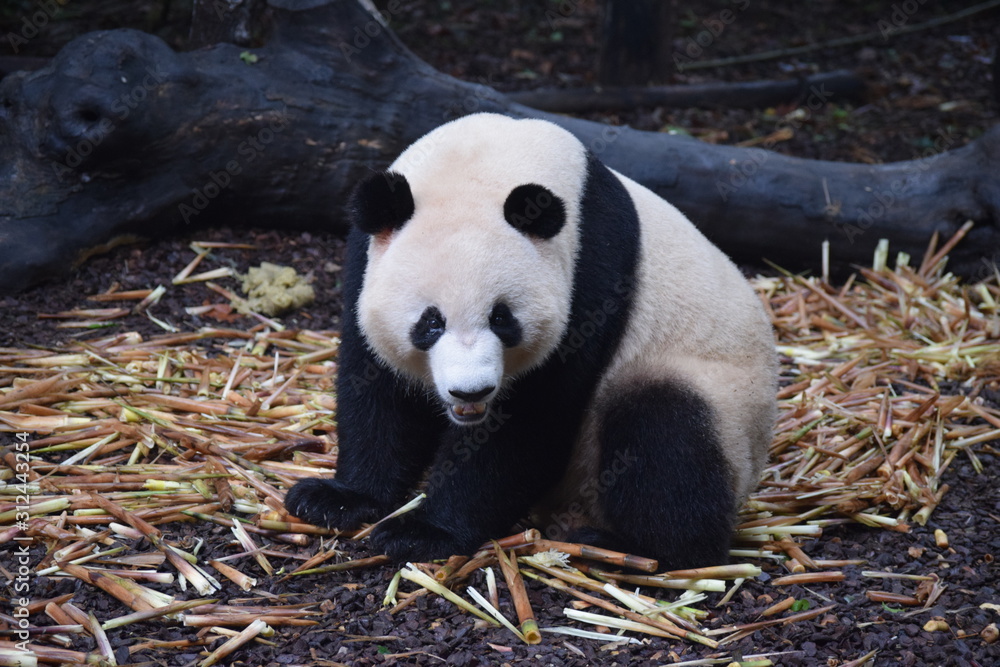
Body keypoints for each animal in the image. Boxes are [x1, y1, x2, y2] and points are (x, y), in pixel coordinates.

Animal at [285, 113, 777, 570]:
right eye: (430, 323)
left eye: (502, 318)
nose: (471, 392)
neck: (484, 160)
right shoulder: (364, 260)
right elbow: (375, 384)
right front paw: (336, 499)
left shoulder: (590, 270)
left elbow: (531, 419)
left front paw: (424, 532)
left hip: (719, 395)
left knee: (665, 434)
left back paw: (635, 548)